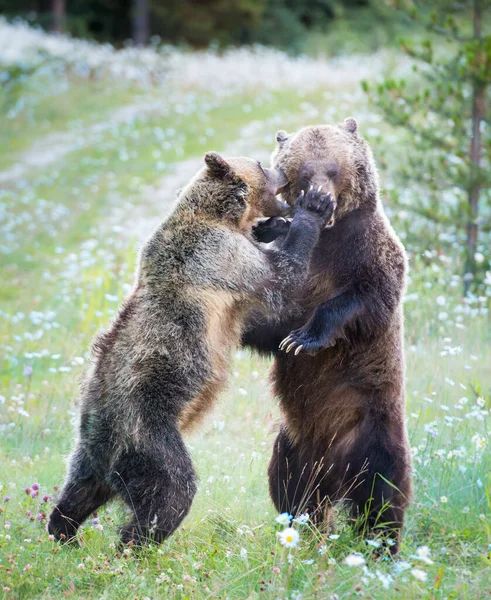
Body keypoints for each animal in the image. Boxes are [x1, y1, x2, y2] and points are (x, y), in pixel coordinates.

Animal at [48, 152, 336, 548]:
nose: (282, 170)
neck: (222, 215)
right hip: (147, 432)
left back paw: (63, 532)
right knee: (172, 489)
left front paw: (275, 225)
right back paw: (135, 543)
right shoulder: (220, 256)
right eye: (261, 164)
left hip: (90, 449)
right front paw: (313, 209)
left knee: (78, 489)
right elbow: (282, 278)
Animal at [246, 119, 412, 556]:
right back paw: (303, 529)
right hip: (293, 442)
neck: (330, 236)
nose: (322, 198)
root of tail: (334, 467)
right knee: (289, 486)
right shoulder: (295, 269)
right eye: (304, 172)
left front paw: (304, 337)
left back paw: (381, 546)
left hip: (373, 429)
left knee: (383, 490)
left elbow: (363, 299)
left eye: (335, 170)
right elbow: (269, 319)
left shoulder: (368, 253)